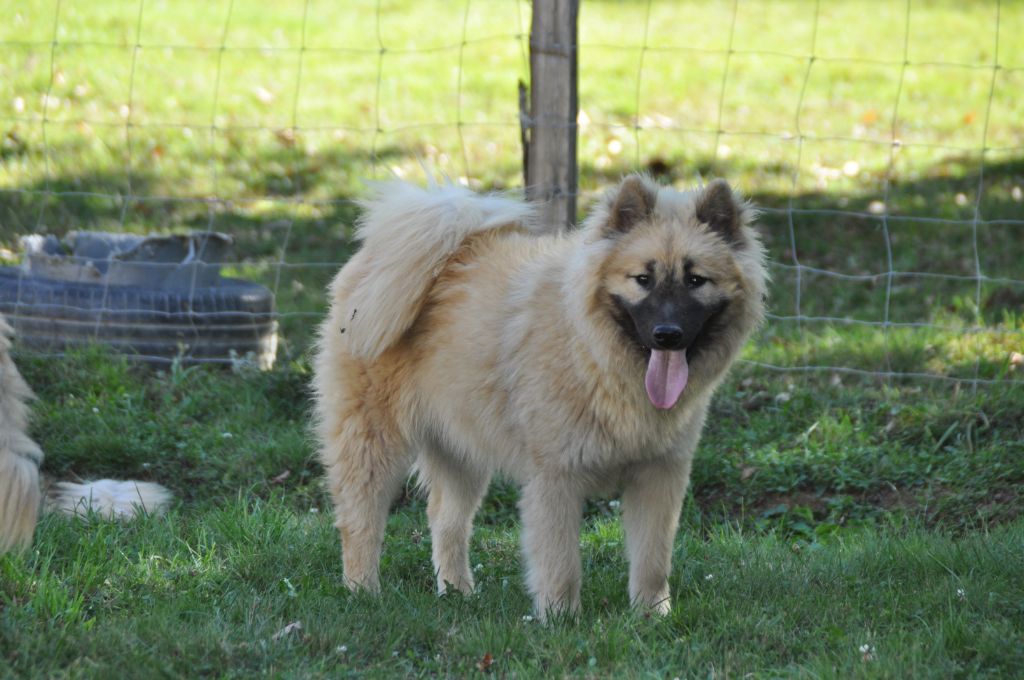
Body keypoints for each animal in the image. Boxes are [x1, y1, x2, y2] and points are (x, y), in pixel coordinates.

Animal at [315, 174, 765, 614]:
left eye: (695, 280)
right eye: (643, 279)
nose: (667, 335)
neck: (594, 355)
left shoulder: (659, 474)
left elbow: (652, 560)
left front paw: (652, 616)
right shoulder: (556, 477)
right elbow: (561, 563)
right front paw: (560, 619)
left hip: (461, 449)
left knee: (446, 520)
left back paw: (458, 592)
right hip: (372, 440)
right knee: (360, 521)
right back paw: (363, 592)